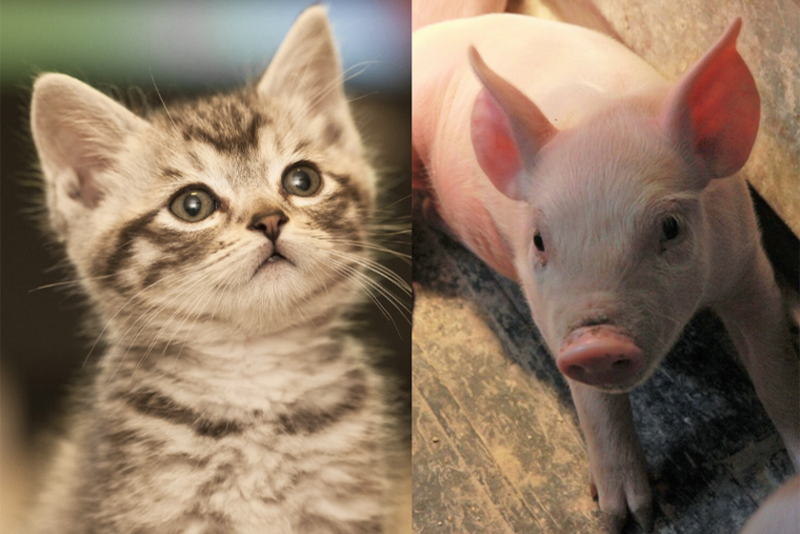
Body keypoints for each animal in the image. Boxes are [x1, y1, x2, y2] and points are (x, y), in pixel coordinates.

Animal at [413, 14, 800, 533]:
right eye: (539, 240)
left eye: (670, 227)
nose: (595, 343)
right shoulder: (546, 306)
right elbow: (593, 400)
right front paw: (627, 519)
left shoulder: (746, 263)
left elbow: (775, 373)